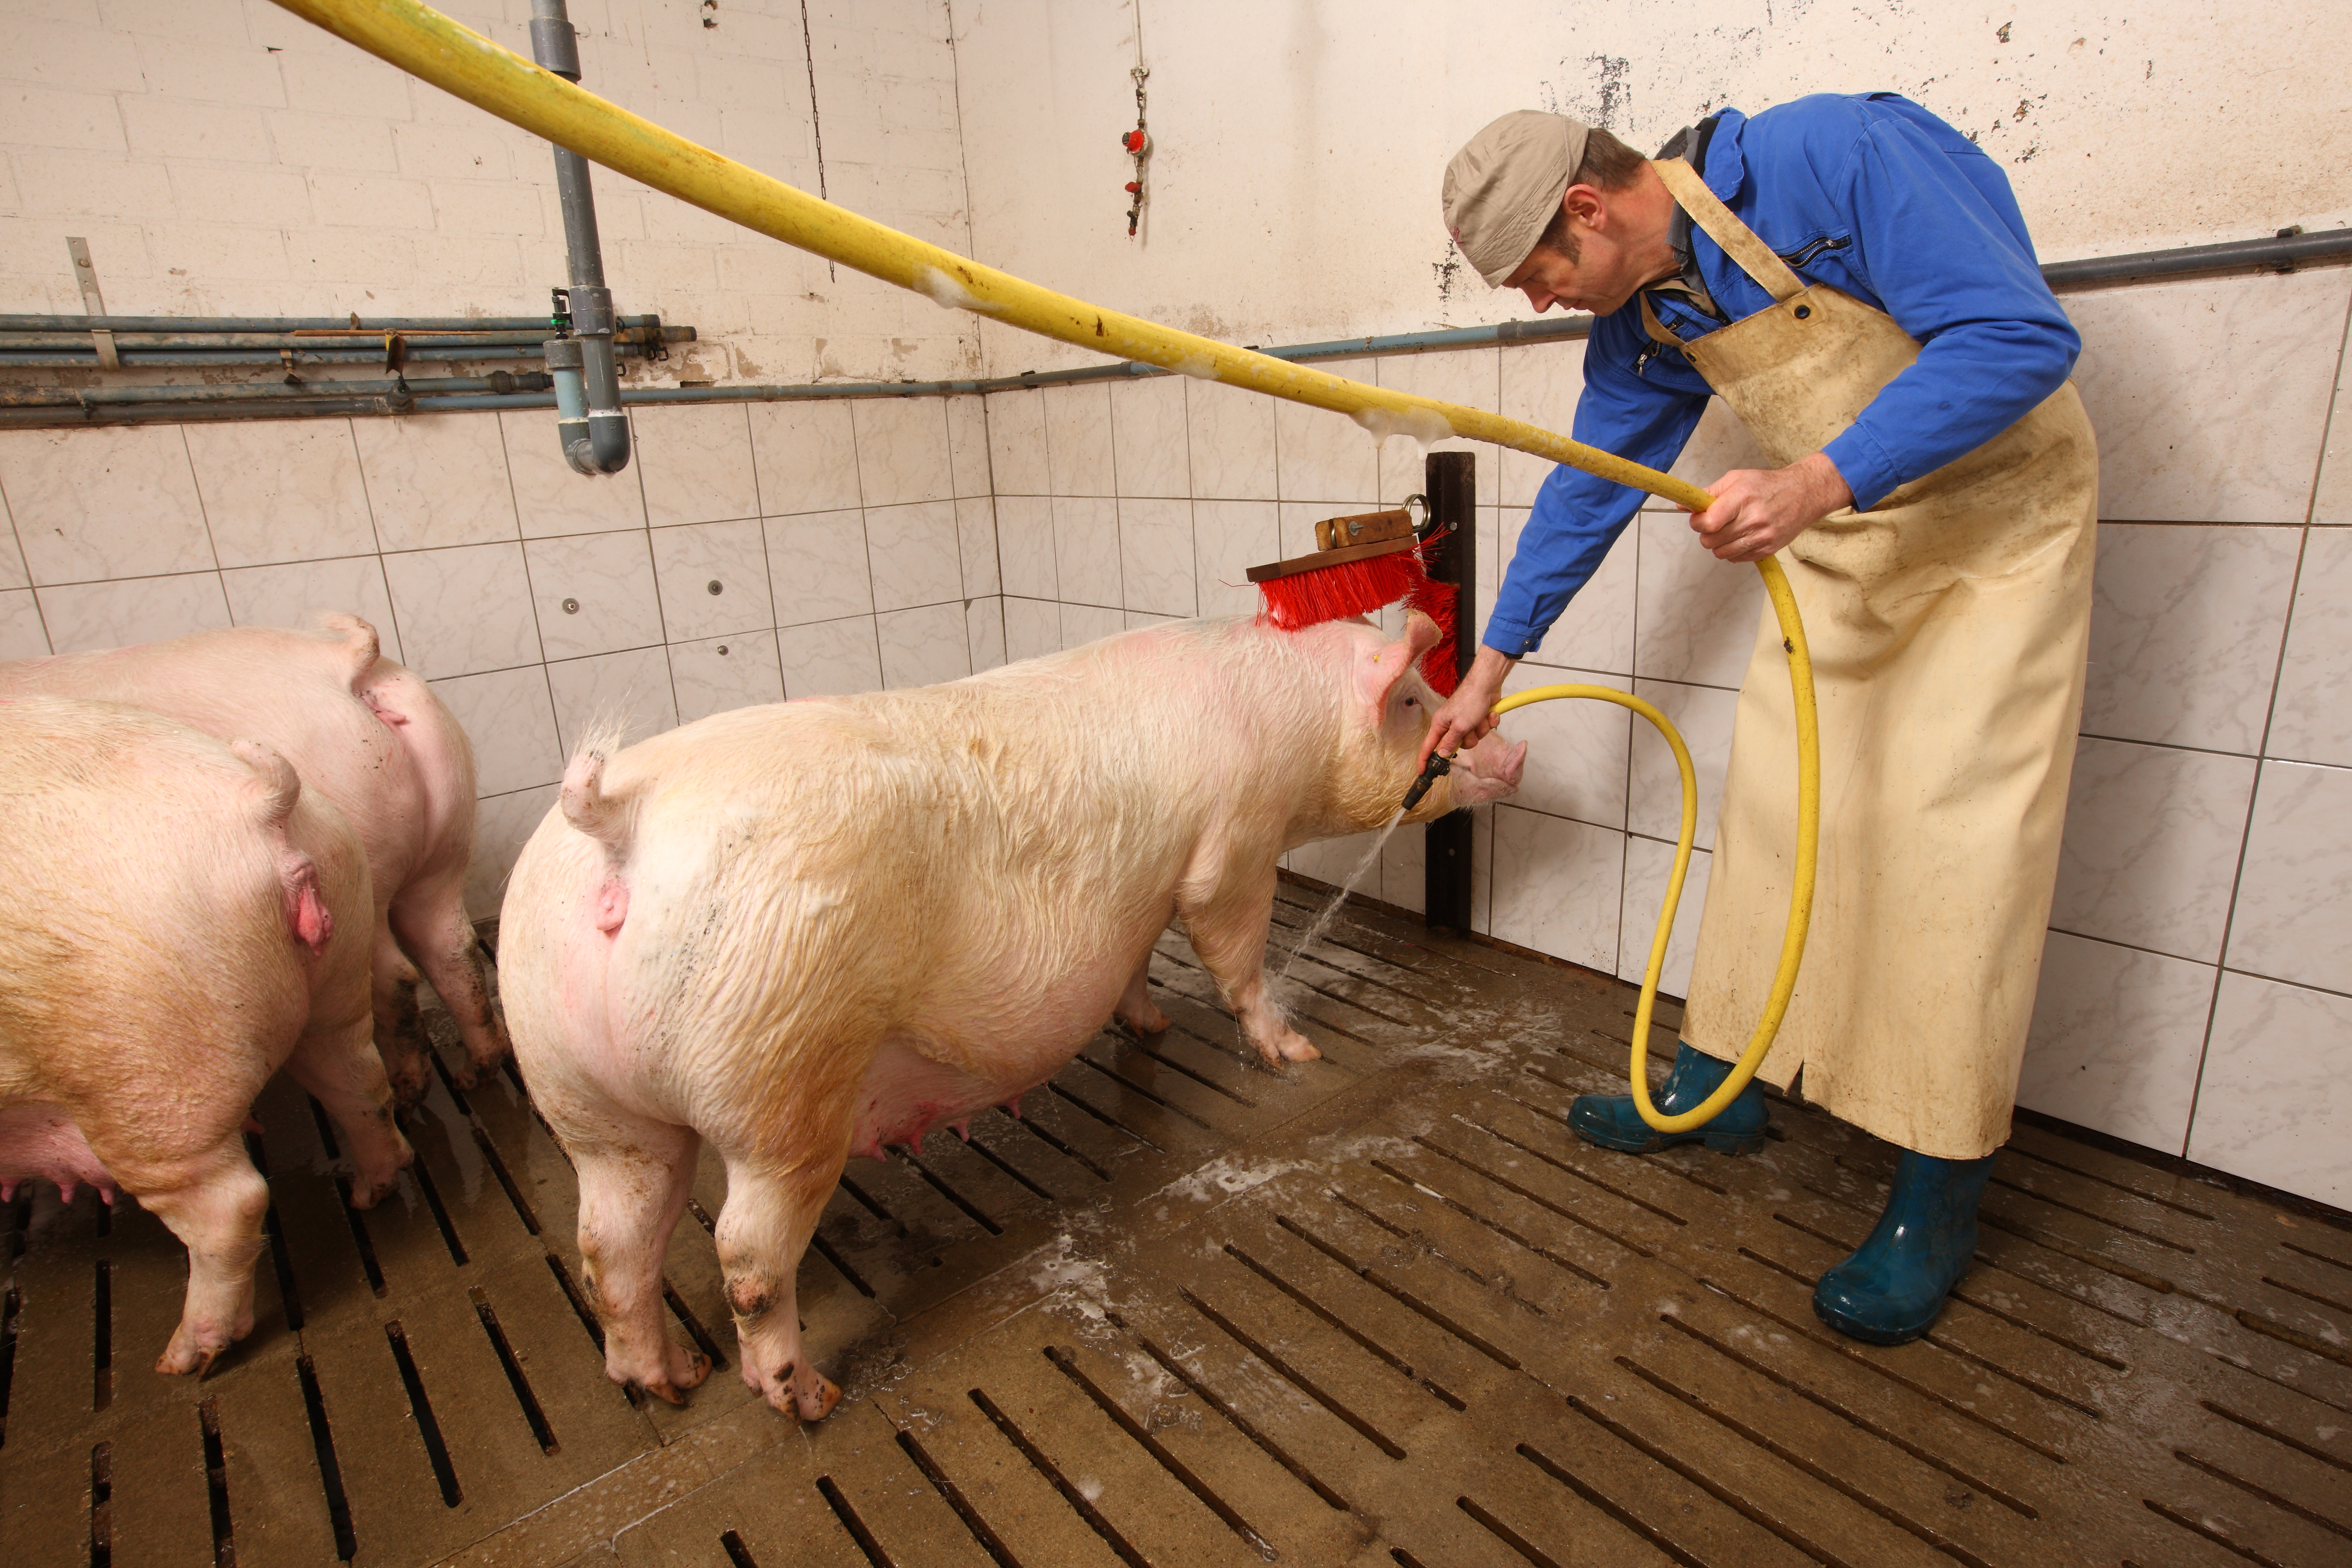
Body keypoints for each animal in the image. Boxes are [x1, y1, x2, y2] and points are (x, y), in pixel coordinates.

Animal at [0, 700, 414, 1373]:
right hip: (338, 968)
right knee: (361, 1086)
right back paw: (366, 1193)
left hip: (144, 1077)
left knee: (230, 1203)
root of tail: (259, 803)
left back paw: (183, 1360)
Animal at [1, 611, 510, 1105]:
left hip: (367, 857)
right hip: (445, 838)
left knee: (396, 977)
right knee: (452, 949)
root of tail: (340, 660)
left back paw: (409, 1091)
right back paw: (473, 1075)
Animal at [498, 606, 1524, 1420]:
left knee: (609, 1244)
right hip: (781, 1065)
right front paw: (1296, 1053)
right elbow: (1231, 946)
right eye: (1415, 702)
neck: (1284, 718)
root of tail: (616, 818)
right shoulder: (1234, 842)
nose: (1511, 747)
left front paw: (1150, 1027)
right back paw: (808, 1397)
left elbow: (1136, 961)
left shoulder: (1139, 898)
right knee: (746, 1257)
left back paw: (668, 1382)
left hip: (581, 1091)